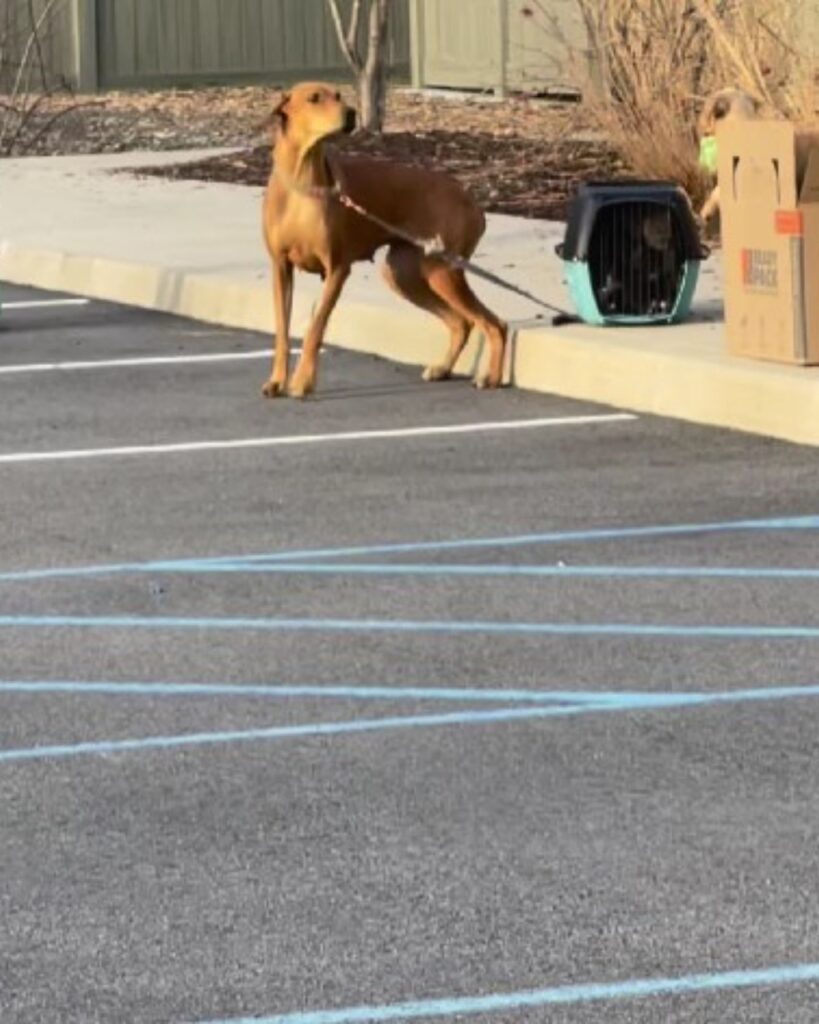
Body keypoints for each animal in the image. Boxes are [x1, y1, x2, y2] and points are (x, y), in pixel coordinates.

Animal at [262, 81, 505, 399]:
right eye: (314, 98)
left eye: (338, 95)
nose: (351, 113)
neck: (303, 184)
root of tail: (472, 201)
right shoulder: (280, 267)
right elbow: (281, 330)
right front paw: (277, 380)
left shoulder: (336, 269)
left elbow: (315, 329)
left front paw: (303, 381)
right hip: (404, 273)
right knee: (461, 322)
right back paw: (443, 368)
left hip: (443, 271)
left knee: (494, 323)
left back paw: (492, 377)